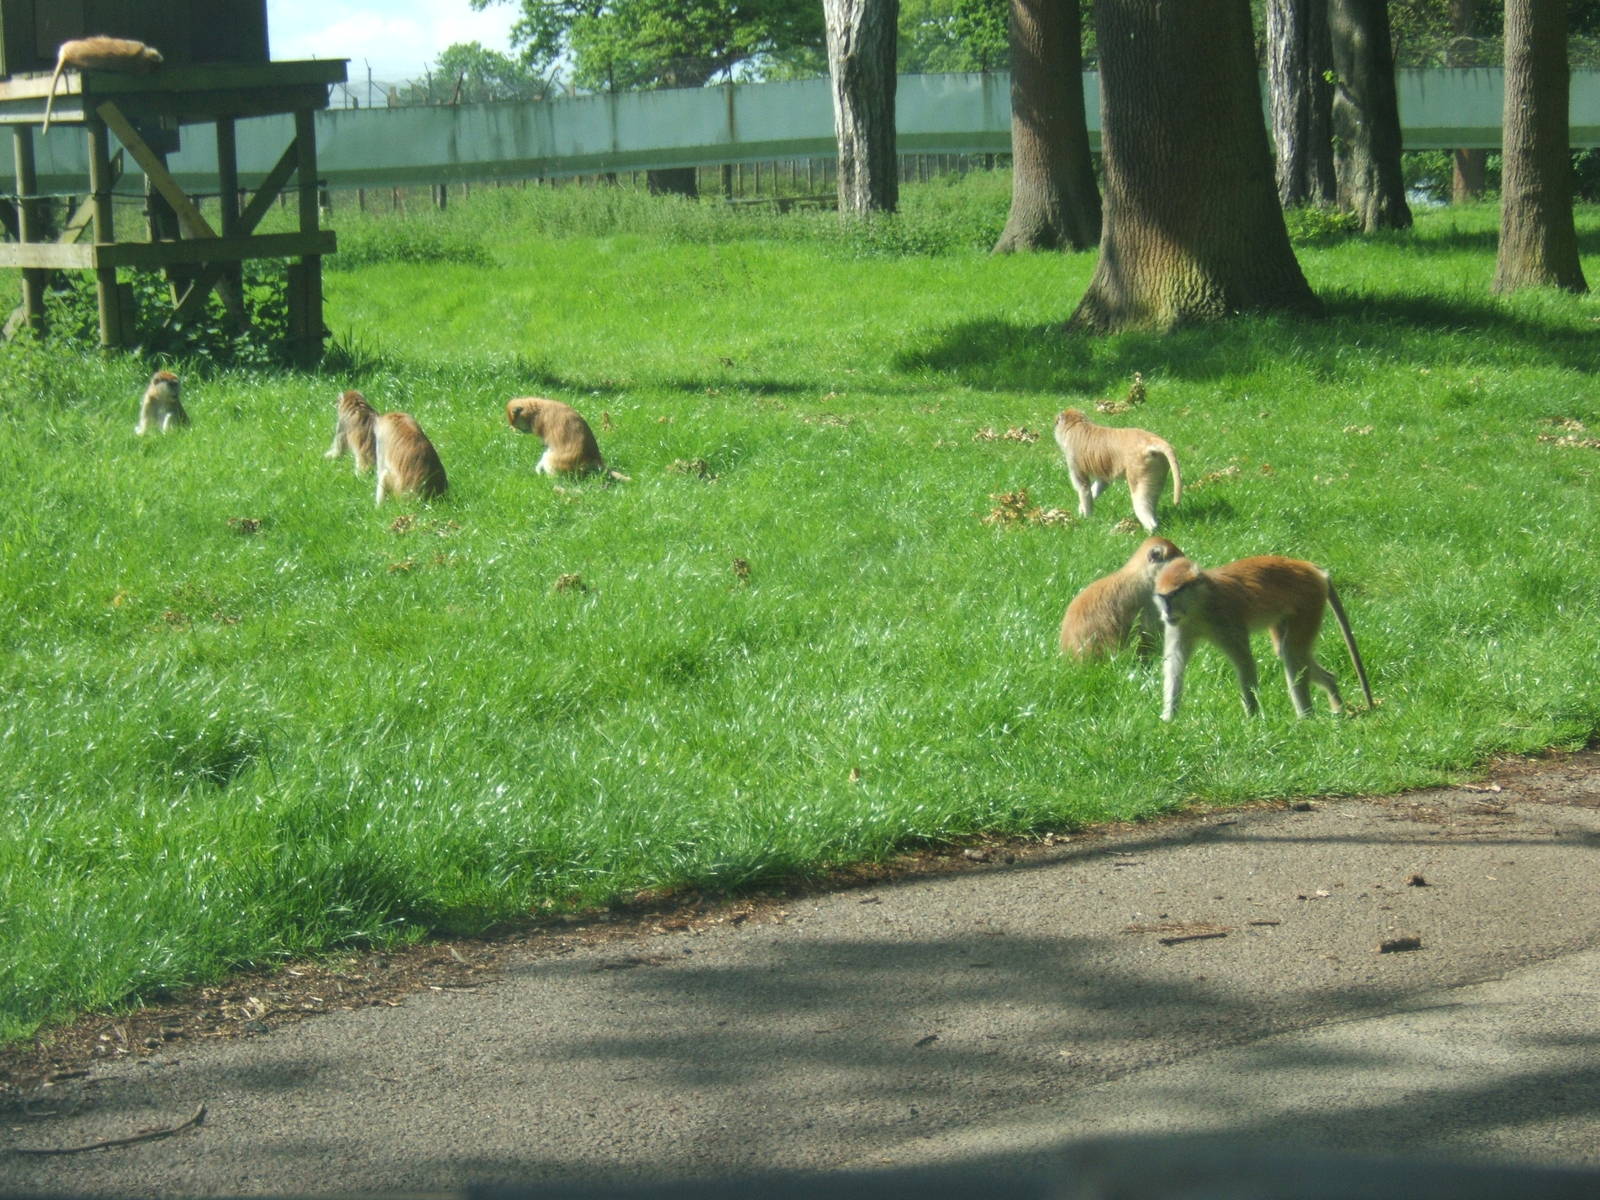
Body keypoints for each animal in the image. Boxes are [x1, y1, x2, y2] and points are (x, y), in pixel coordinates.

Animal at [1053, 408, 1183, 533]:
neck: (1077, 425)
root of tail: (1151, 440)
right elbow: (1103, 482)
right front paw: (1082, 510)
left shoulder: (1073, 457)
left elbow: (1084, 488)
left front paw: (1087, 518)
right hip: (1158, 466)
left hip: (1139, 467)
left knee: (1140, 499)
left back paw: (1150, 529)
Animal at [1152, 555, 1374, 721]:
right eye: (1162, 597)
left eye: (1174, 595)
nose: (1166, 611)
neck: (1199, 605)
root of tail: (1310, 568)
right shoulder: (1180, 626)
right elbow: (1174, 665)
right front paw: (1169, 719)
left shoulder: (1225, 619)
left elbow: (1244, 662)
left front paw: (1252, 717)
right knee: (1289, 652)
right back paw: (1332, 692)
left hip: (1308, 602)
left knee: (1291, 651)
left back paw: (1306, 718)